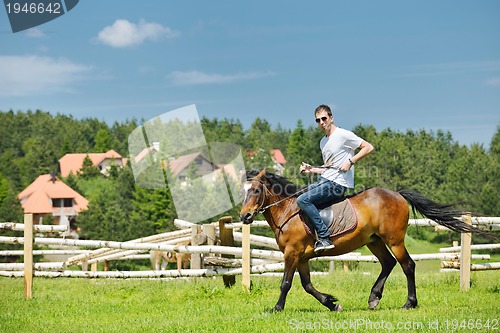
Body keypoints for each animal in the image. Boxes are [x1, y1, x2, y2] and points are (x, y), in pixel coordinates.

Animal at [240, 169, 490, 312]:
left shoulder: (292, 253)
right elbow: (307, 285)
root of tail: (397, 194)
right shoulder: (302, 257)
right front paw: (332, 303)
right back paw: (373, 298)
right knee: (388, 263)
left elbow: (286, 283)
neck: (288, 210)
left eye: (255, 190)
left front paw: (277, 308)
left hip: (394, 240)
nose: (245, 216)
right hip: (374, 241)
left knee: (407, 265)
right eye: (243, 191)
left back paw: (409, 303)